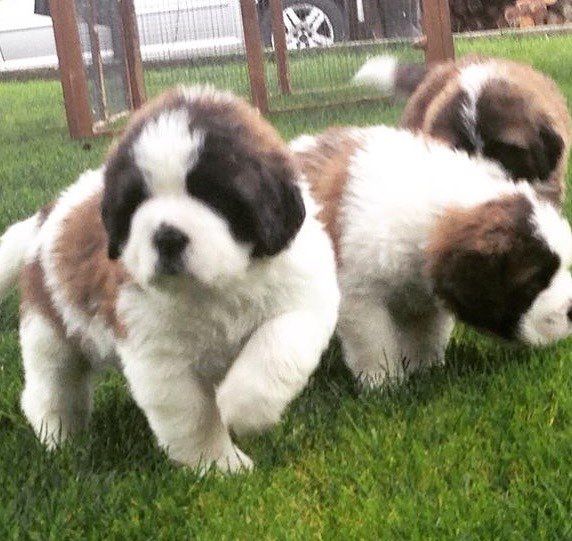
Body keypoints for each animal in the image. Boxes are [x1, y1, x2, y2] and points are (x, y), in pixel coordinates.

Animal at [0, 86, 340, 470]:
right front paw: (221, 465)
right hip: (50, 333)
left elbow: (277, 348)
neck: (217, 287)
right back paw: (59, 440)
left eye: (214, 194)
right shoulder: (159, 355)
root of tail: (49, 213)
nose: (166, 237)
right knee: (51, 388)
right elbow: (193, 415)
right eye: (137, 200)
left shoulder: (302, 297)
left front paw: (239, 407)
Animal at [292, 125, 572, 388]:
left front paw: (424, 368)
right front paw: (384, 382)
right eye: (534, 282)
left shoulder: (426, 298)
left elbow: (428, 333)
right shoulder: (361, 297)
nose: (571, 311)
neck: (433, 214)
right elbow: (374, 340)